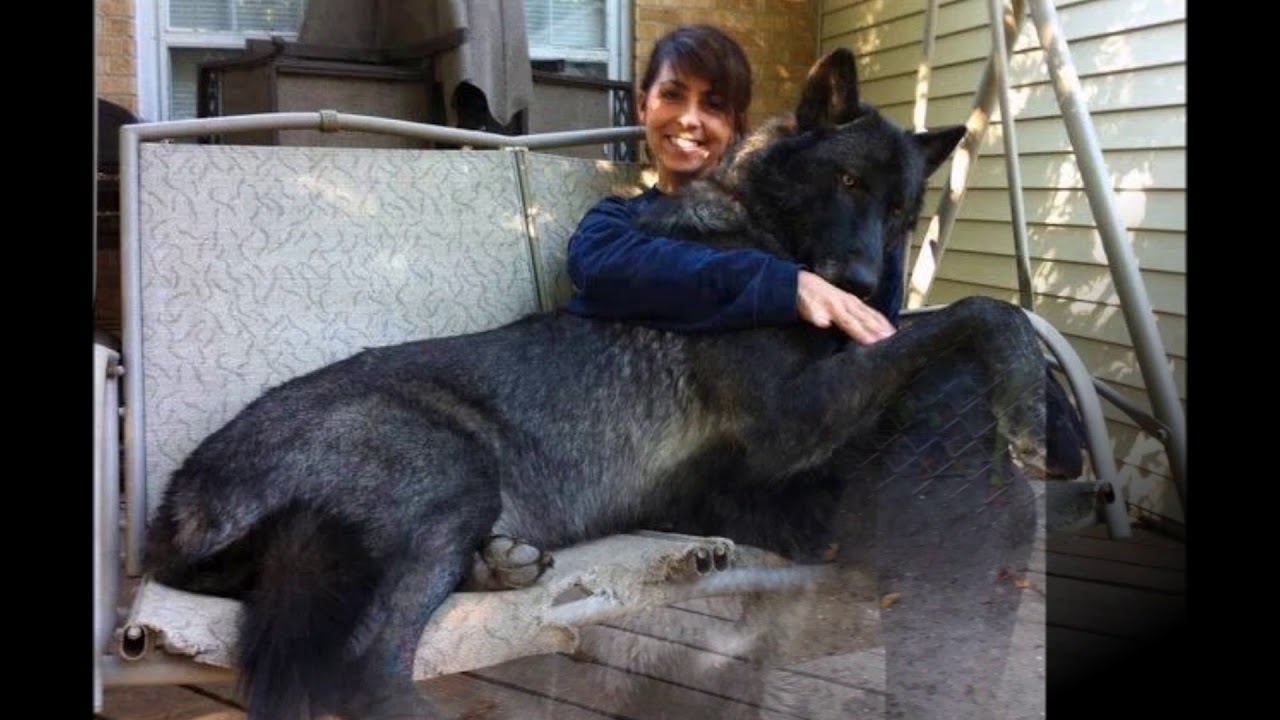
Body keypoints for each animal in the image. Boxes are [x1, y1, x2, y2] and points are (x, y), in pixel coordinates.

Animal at [144, 47, 1049, 719]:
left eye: (902, 211)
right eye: (849, 183)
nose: (862, 287)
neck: (756, 229)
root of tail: (175, 508)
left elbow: (953, 318)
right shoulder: (794, 415)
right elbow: (981, 310)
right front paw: (1027, 400)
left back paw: (500, 566)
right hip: (451, 475)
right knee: (365, 669)